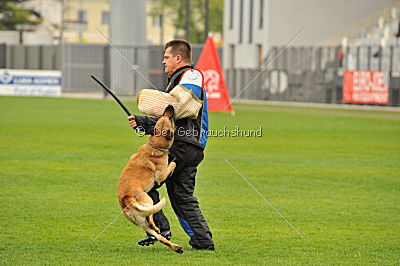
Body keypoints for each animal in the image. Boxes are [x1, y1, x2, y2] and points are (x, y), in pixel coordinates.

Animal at [117, 104, 183, 254]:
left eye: (165, 116)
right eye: (170, 118)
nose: (170, 106)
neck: (155, 144)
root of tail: (126, 199)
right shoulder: (161, 175)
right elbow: (173, 164)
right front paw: (173, 159)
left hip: (143, 222)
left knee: (158, 236)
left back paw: (176, 247)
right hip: (148, 200)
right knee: (151, 218)